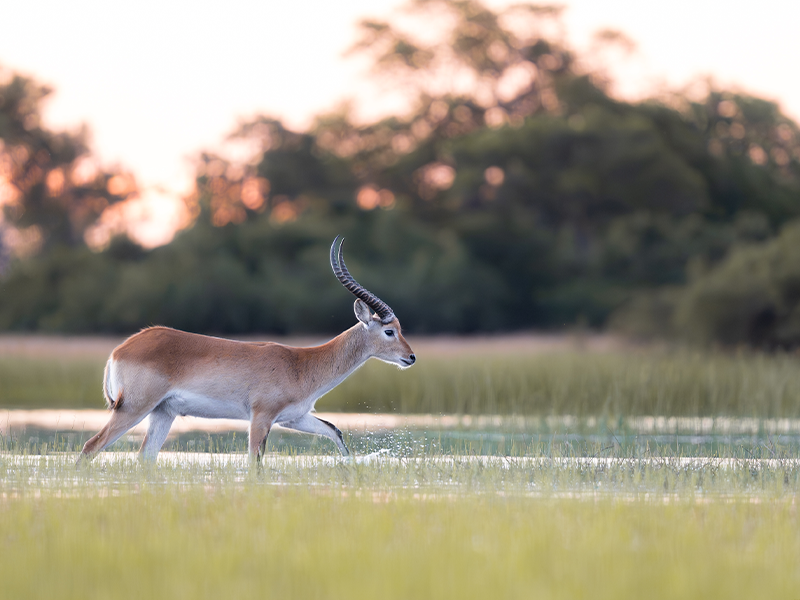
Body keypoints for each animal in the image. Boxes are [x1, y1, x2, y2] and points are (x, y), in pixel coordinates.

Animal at [78, 237, 416, 462]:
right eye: (389, 331)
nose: (411, 357)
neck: (302, 364)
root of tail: (122, 348)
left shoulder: (294, 418)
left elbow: (336, 432)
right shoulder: (260, 417)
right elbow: (255, 464)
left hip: (163, 412)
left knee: (144, 459)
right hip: (134, 409)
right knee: (91, 447)